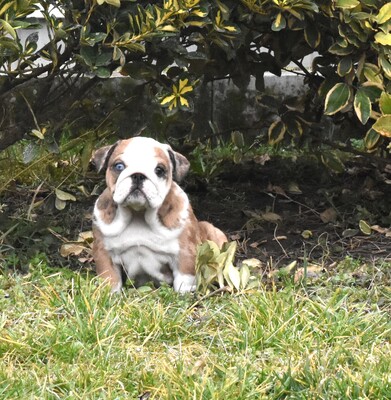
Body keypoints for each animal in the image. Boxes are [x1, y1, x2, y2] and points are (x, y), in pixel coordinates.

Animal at [92, 136, 227, 292]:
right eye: (119, 166)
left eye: (159, 170)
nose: (138, 175)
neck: (138, 214)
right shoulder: (104, 253)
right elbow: (110, 278)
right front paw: (111, 293)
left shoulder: (184, 253)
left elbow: (184, 278)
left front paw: (185, 294)